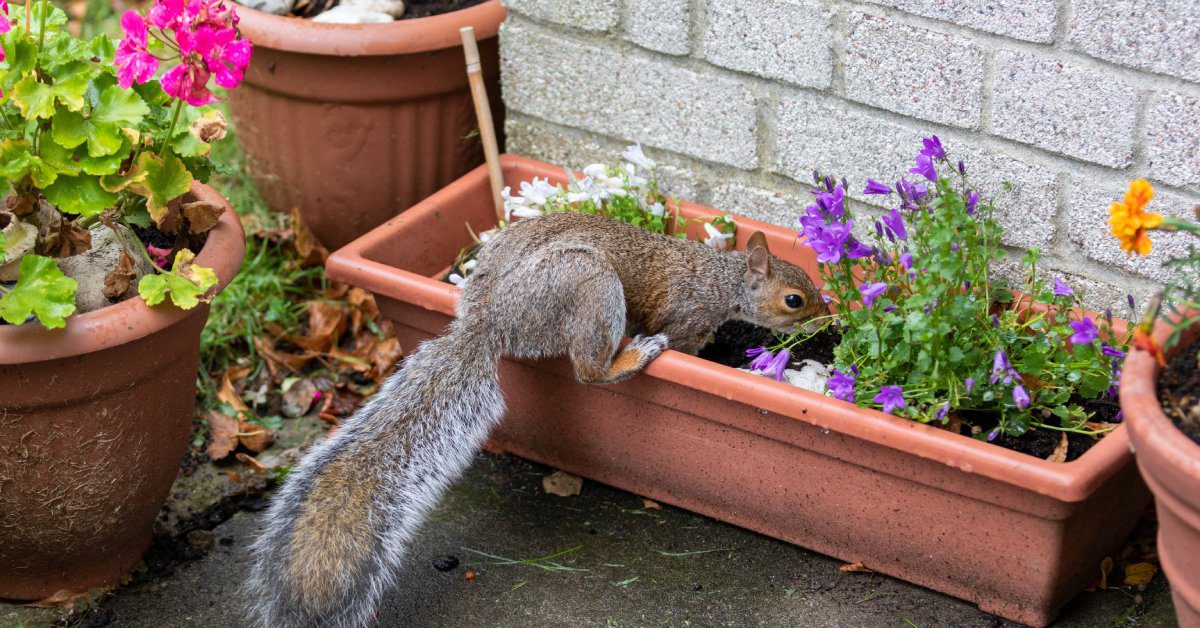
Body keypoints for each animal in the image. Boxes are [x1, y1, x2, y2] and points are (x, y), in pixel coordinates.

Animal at [245, 211, 827, 627]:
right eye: (795, 299)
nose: (831, 316)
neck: (721, 279)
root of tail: (491, 319)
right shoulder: (685, 318)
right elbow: (684, 340)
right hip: (588, 285)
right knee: (589, 372)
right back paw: (633, 356)